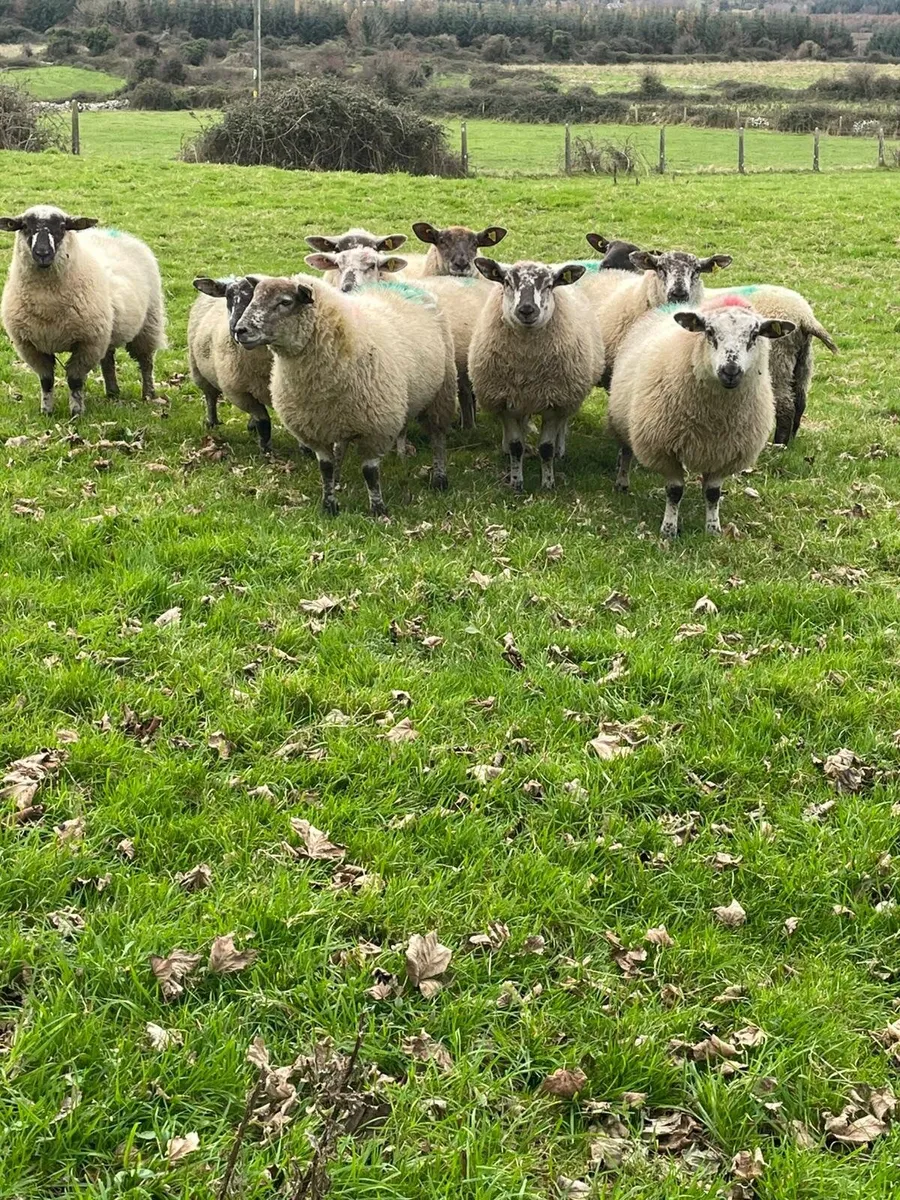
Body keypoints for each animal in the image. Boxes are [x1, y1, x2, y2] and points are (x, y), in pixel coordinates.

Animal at [0, 204, 165, 417]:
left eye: (62, 227)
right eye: (25, 226)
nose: (43, 253)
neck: (47, 306)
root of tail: (116, 233)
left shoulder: (88, 343)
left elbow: (75, 379)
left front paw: (76, 412)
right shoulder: (30, 346)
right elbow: (46, 380)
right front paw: (47, 411)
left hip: (148, 323)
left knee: (146, 361)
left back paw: (148, 394)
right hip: (106, 330)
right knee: (108, 359)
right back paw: (112, 392)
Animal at [189, 276, 274, 451]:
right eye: (228, 296)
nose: (235, 328)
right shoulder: (238, 392)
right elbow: (263, 420)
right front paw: (266, 449)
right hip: (199, 372)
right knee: (210, 398)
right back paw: (212, 422)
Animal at [231, 275, 457, 516]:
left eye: (285, 302)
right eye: (254, 297)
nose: (240, 330)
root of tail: (407, 284)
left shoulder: (376, 428)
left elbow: (370, 472)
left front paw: (378, 509)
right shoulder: (316, 429)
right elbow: (326, 468)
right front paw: (329, 505)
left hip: (441, 394)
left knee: (438, 438)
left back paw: (440, 479)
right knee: (343, 445)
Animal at [468, 258, 603, 491]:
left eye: (549, 285)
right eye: (507, 281)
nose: (526, 309)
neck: (527, 365)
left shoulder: (554, 403)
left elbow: (546, 448)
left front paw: (548, 484)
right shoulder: (506, 402)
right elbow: (516, 446)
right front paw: (516, 483)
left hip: (568, 396)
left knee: (563, 424)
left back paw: (560, 451)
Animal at [608, 296, 796, 537]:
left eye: (754, 335)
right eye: (709, 331)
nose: (730, 370)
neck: (715, 418)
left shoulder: (725, 455)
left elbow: (713, 494)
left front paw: (713, 529)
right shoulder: (664, 450)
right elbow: (675, 491)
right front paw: (668, 530)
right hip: (623, 421)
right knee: (626, 452)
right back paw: (622, 482)